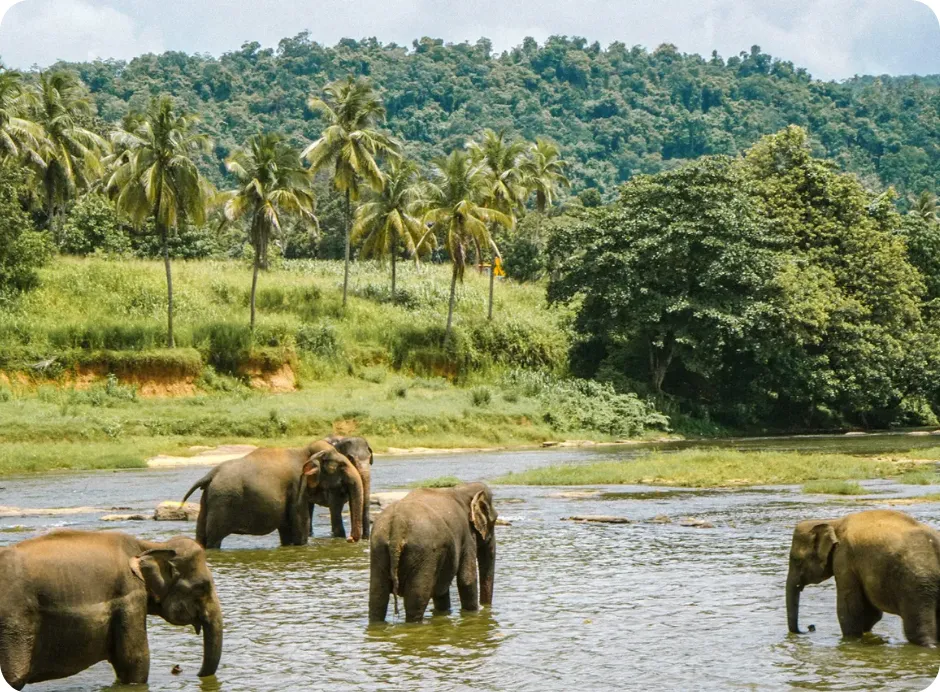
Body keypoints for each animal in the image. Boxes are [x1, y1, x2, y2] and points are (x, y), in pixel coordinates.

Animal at [0, 529, 222, 689]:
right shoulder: (129, 596)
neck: (149, 546)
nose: (179, 669)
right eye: (202, 587)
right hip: (14, 626)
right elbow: (135, 662)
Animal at [181, 441, 363, 549]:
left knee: (201, 537)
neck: (304, 451)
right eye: (341, 466)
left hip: (208, 500)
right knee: (214, 539)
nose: (350, 539)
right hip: (222, 502)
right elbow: (300, 530)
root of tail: (210, 475)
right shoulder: (296, 488)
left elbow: (287, 533)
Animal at [369, 482, 497, 623]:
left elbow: (441, 589)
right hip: (423, 553)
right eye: (494, 521)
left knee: (377, 597)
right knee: (417, 599)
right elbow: (467, 579)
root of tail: (397, 525)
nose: (485, 607)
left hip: (378, 547)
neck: (462, 488)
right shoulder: (467, 535)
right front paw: (473, 613)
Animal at [787, 509, 940, 646]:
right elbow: (870, 613)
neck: (833, 523)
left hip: (916, 586)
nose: (810, 627)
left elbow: (850, 607)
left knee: (917, 632)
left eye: (796, 560)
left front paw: (850, 641)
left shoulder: (844, 558)